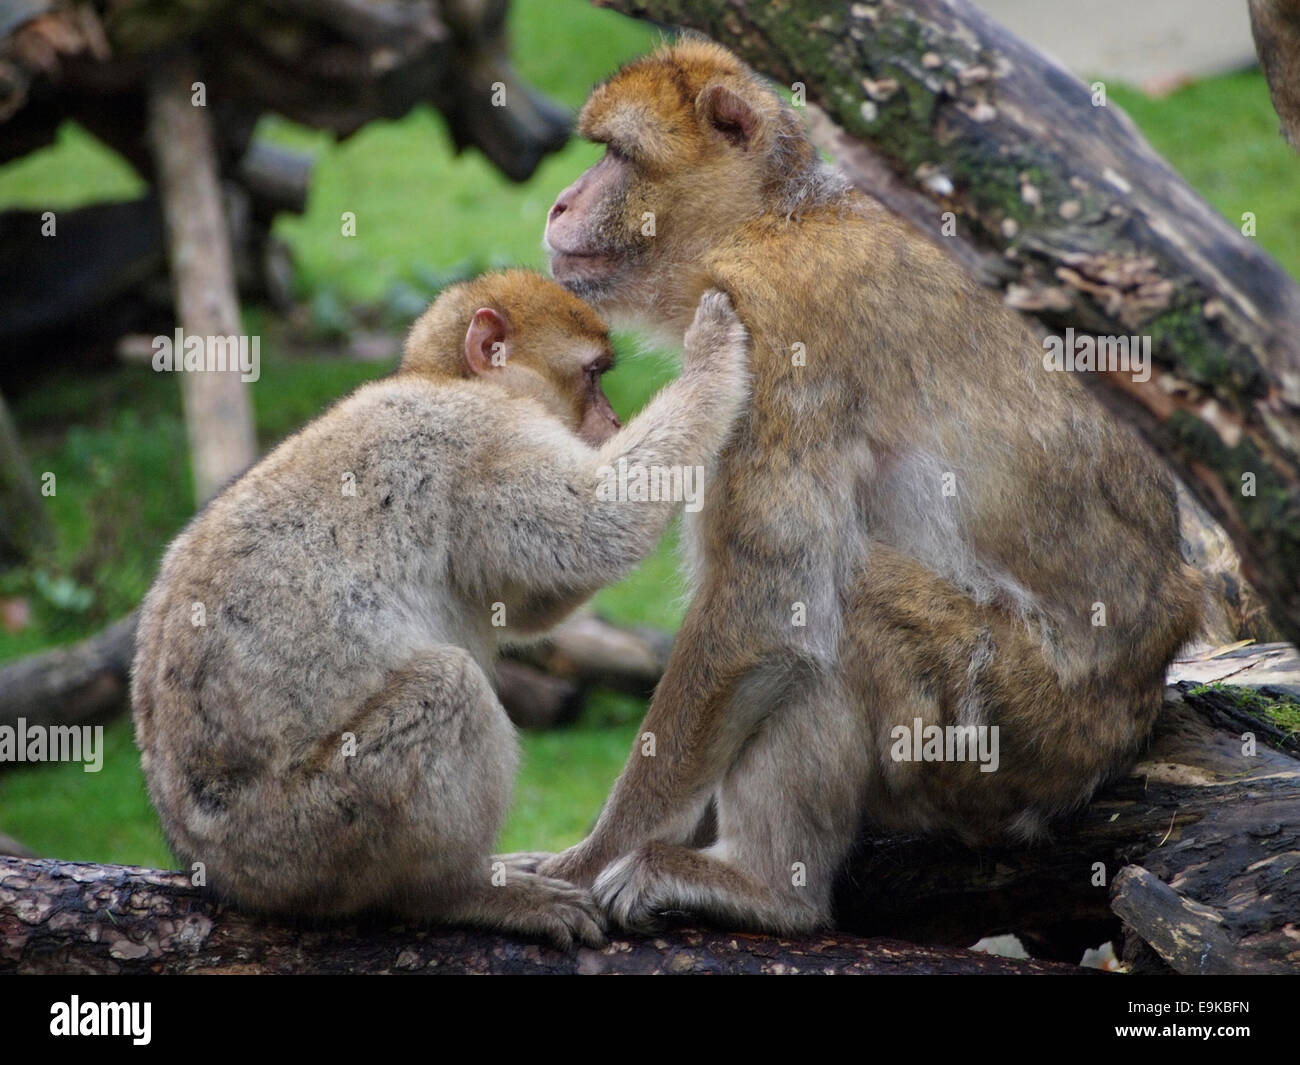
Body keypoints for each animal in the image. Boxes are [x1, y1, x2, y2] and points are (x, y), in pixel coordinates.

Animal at [131, 269, 754, 951]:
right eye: (593, 375)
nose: (612, 417)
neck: (447, 380)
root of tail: (210, 863)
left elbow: (528, 601)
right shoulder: (483, 436)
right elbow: (595, 531)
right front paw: (711, 354)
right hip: (300, 837)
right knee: (447, 689)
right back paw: (456, 891)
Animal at [535, 39, 1196, 931]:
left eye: (616, 156)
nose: (560, 203)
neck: (768, 219)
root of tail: (1137, 707)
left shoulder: (775, 321)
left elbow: (764, 610)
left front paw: (589, 857)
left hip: (1010, 731)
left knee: (848, 606)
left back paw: (771, 889)